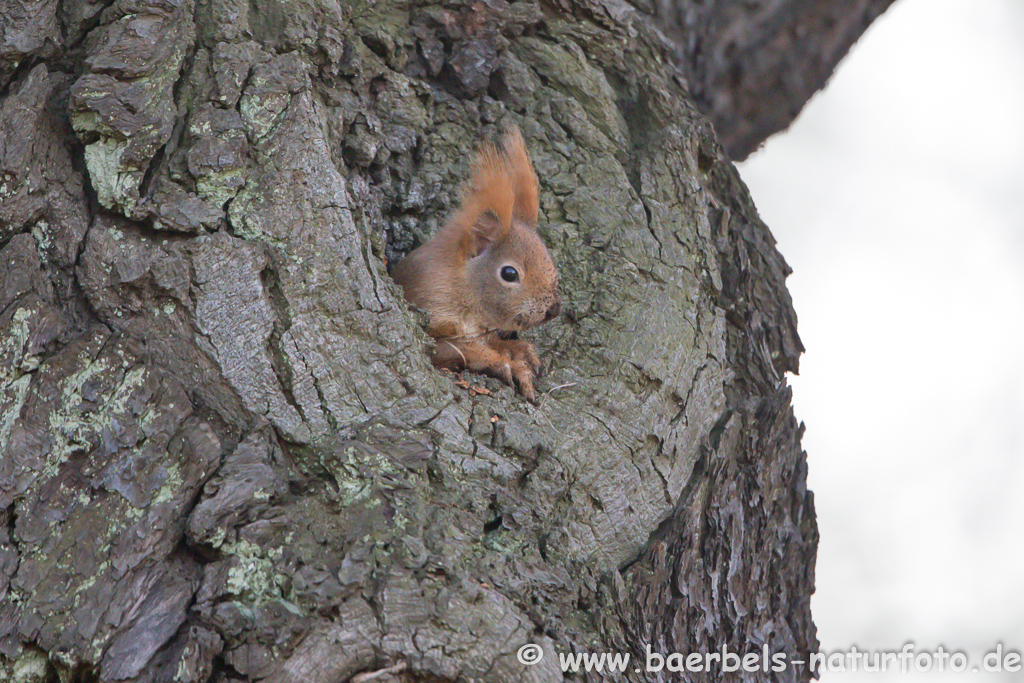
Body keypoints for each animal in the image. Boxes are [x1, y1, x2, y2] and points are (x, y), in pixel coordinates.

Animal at [391, 126, 561, 403]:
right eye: (509, 273)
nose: (554, 309)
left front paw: (519, 350)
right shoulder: (430, 313)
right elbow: (454, 350)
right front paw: (505, 363)